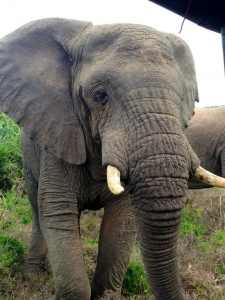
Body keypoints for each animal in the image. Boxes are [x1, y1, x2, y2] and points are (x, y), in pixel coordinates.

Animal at [0, 17, 225, 298]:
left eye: (183, 99)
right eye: (100, 96)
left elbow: (120, 225)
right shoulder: (59, 135)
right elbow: (57, 212)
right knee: (37, 210)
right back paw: (32, 275)